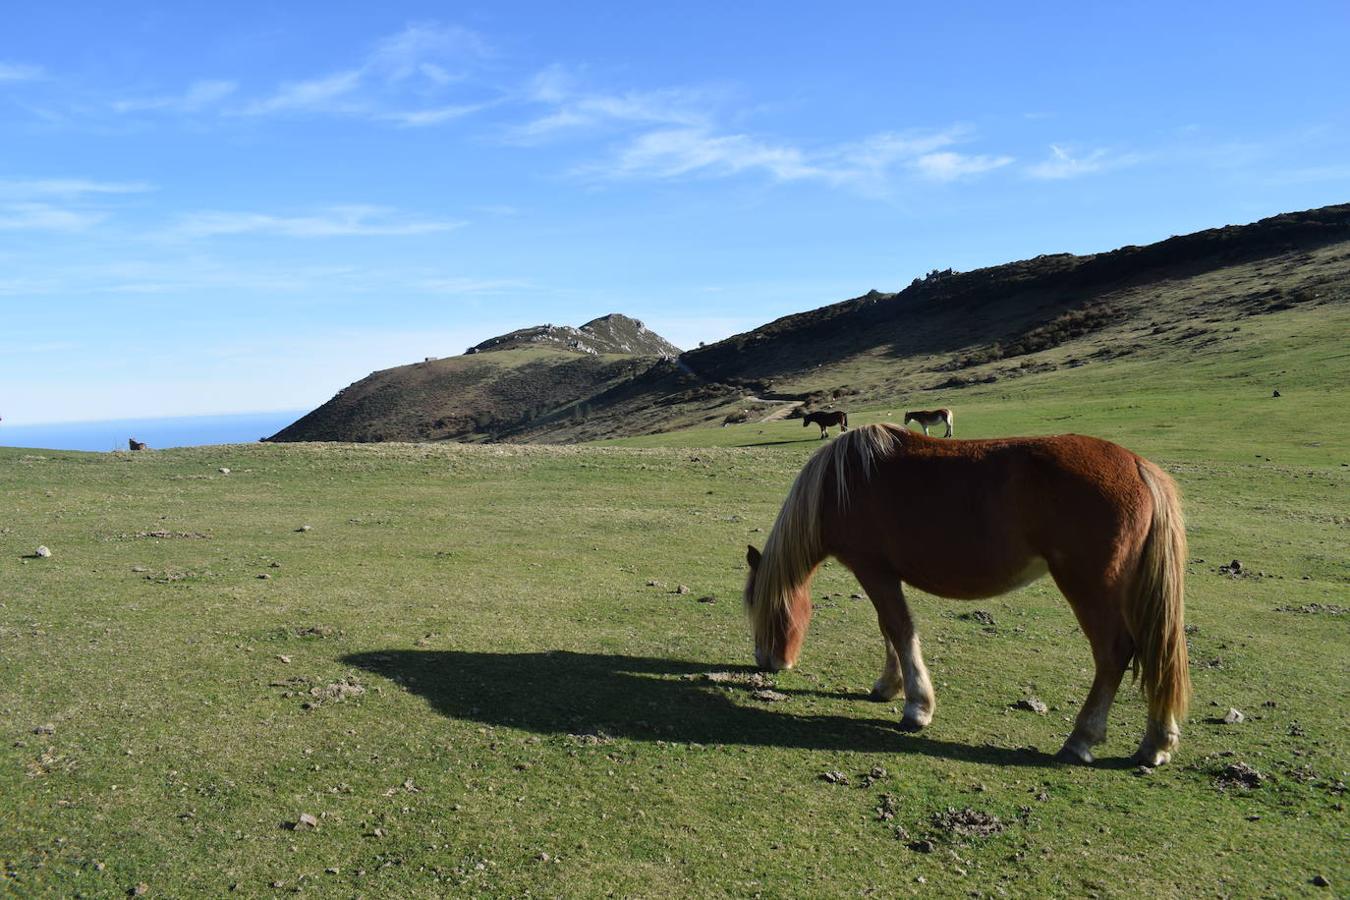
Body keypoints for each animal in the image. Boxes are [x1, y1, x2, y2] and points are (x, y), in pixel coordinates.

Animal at [739, 426, 1193, 766]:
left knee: (1114, 654)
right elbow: (888, 629)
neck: (841, 484)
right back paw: (1155, 744)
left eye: (763, 608)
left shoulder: (873, 570)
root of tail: (1137, 466)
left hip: (1090, 587)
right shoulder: (882, 575)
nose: (767, 661)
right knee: (1156, 653)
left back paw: (1081, 739)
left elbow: (899, 629)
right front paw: (888, 686)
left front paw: (917, 707)